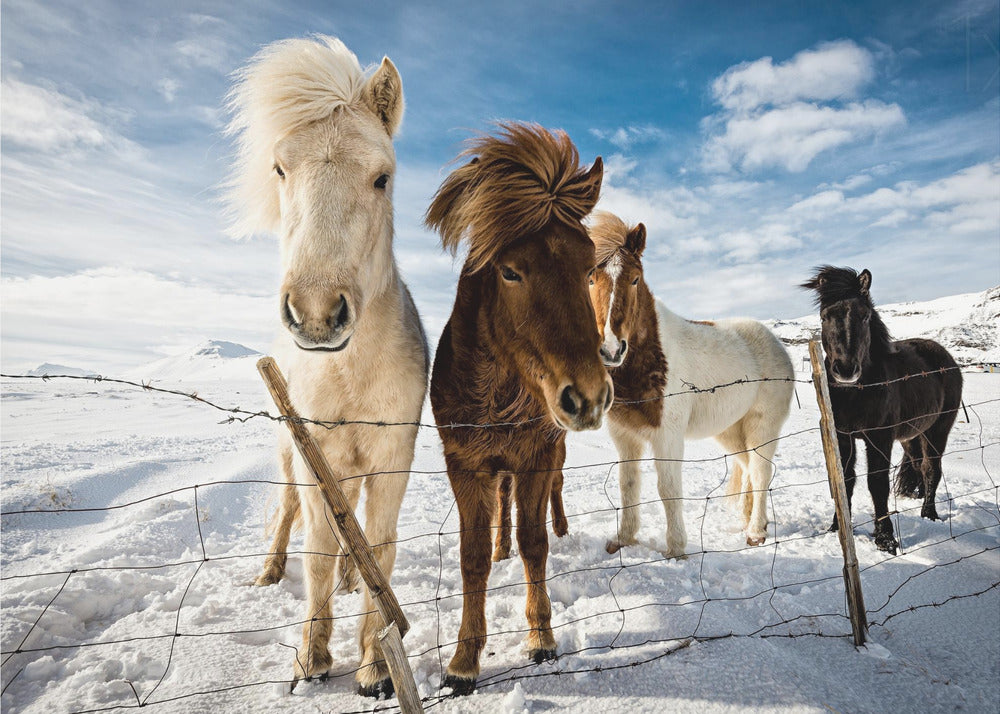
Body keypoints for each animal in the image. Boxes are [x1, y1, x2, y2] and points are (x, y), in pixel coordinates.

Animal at [225, 36, 428, 696]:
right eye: (280, 169)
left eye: (382, 177)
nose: (316, 313)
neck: (349, 374)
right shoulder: (316, 456)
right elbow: (314, 548)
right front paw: (311, 660)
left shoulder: (391, 458)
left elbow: (379, 546)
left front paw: (373, 666)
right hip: (292, 455)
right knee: (290, 513)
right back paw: (269, 573)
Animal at [426, 123, 611, 695]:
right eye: (510, 272)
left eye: (589, 269)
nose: (588, 396)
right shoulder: (465, 465)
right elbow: (472, 558)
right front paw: (463, 661)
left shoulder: (535, 456)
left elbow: (535, 543)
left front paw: (541, 638)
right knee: (501, 511)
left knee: (553, 497)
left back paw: (562, 529)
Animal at [588, 212, 794, 556]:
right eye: (590, 279)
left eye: (635, 279)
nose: (611, 349)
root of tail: (776, 344)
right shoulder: (624, 436)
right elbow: (628, 485)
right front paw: (623, 539)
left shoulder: (667, 436)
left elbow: (668, 488)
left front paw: (676, 549)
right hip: (731, 431)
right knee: (749, 468)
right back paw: (750, 521)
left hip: (762, 427)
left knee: (761, 471)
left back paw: (755, 532)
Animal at [802, 266, 962, 554]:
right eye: (824, 316)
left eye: (864, 316)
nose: (845, 370)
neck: (855, 393)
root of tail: (946, 358)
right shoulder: (842, 437)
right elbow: (845, 480)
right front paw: (837, 528)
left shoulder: (879, 437)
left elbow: (876, 483)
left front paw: (885, 539)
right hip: (911, 435)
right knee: (919, 466)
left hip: (937, 430)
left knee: (932, 469)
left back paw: (929, 514)